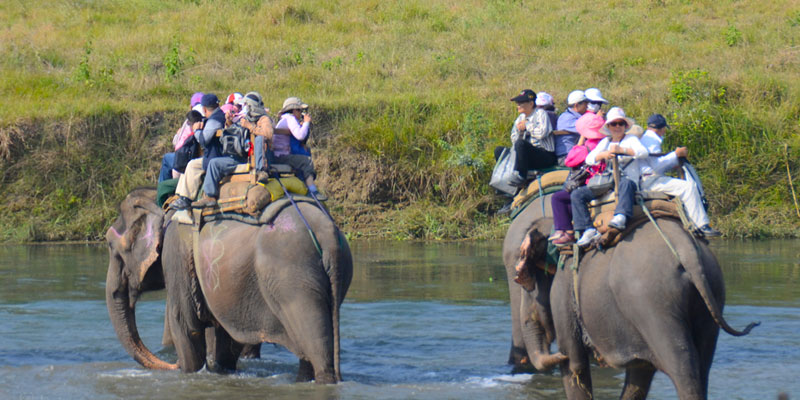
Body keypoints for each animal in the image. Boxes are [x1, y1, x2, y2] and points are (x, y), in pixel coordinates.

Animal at [104, 186, 352, 382]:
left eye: (109, 245)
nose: (171, 364)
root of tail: (328, 236)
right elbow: (227, 338)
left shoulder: (176, 252)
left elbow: (186, 326)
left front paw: (190, 372)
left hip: (294, 282)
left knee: (315, 348)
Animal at [504, 193, 760, 396]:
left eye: (528, 283)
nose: (558, 355)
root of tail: (685, 247)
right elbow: (639, 374)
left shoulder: (563, 289)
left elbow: (575, 366)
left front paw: (566, 359)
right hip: (711, 295)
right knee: (703, 365)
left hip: (652, 304)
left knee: (683, 368)